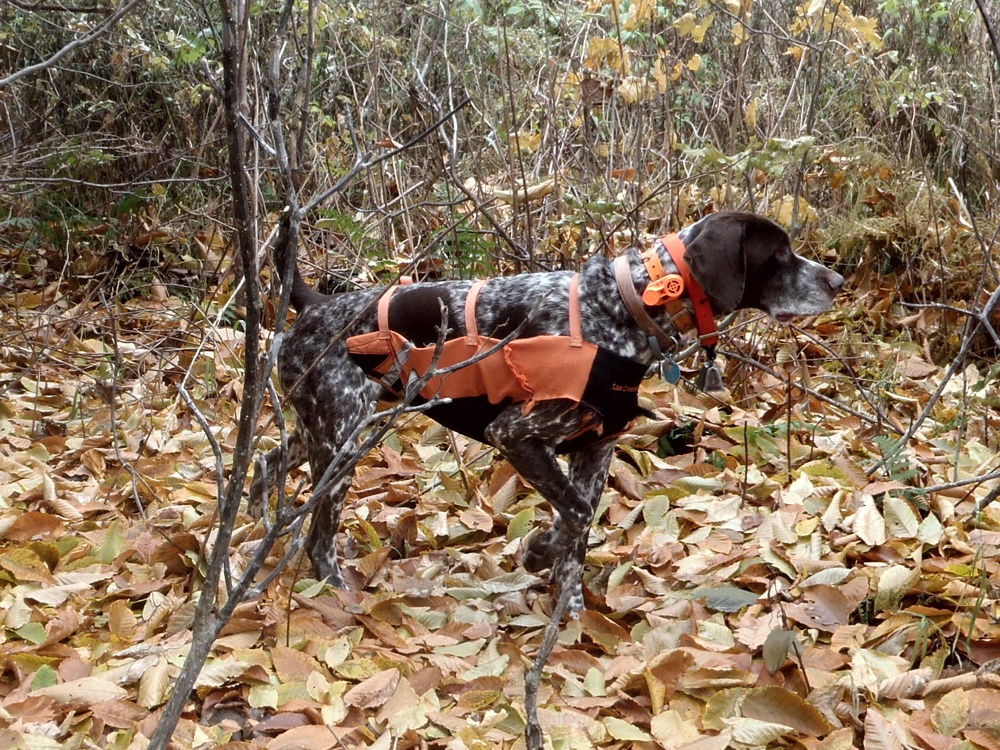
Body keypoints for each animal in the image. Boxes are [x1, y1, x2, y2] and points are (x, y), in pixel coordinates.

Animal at [256, 212, 844, 616]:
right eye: (780, 254)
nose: (837, 282)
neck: (628, 305)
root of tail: (316, 305)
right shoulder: (515, 434)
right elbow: (575, 517)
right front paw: (539, 552)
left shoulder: (594, 451)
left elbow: (578, 533)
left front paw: (572, 617)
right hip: (342, 441)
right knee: (318, 537)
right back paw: (335, 594)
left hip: (329, 426)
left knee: (267, 464)